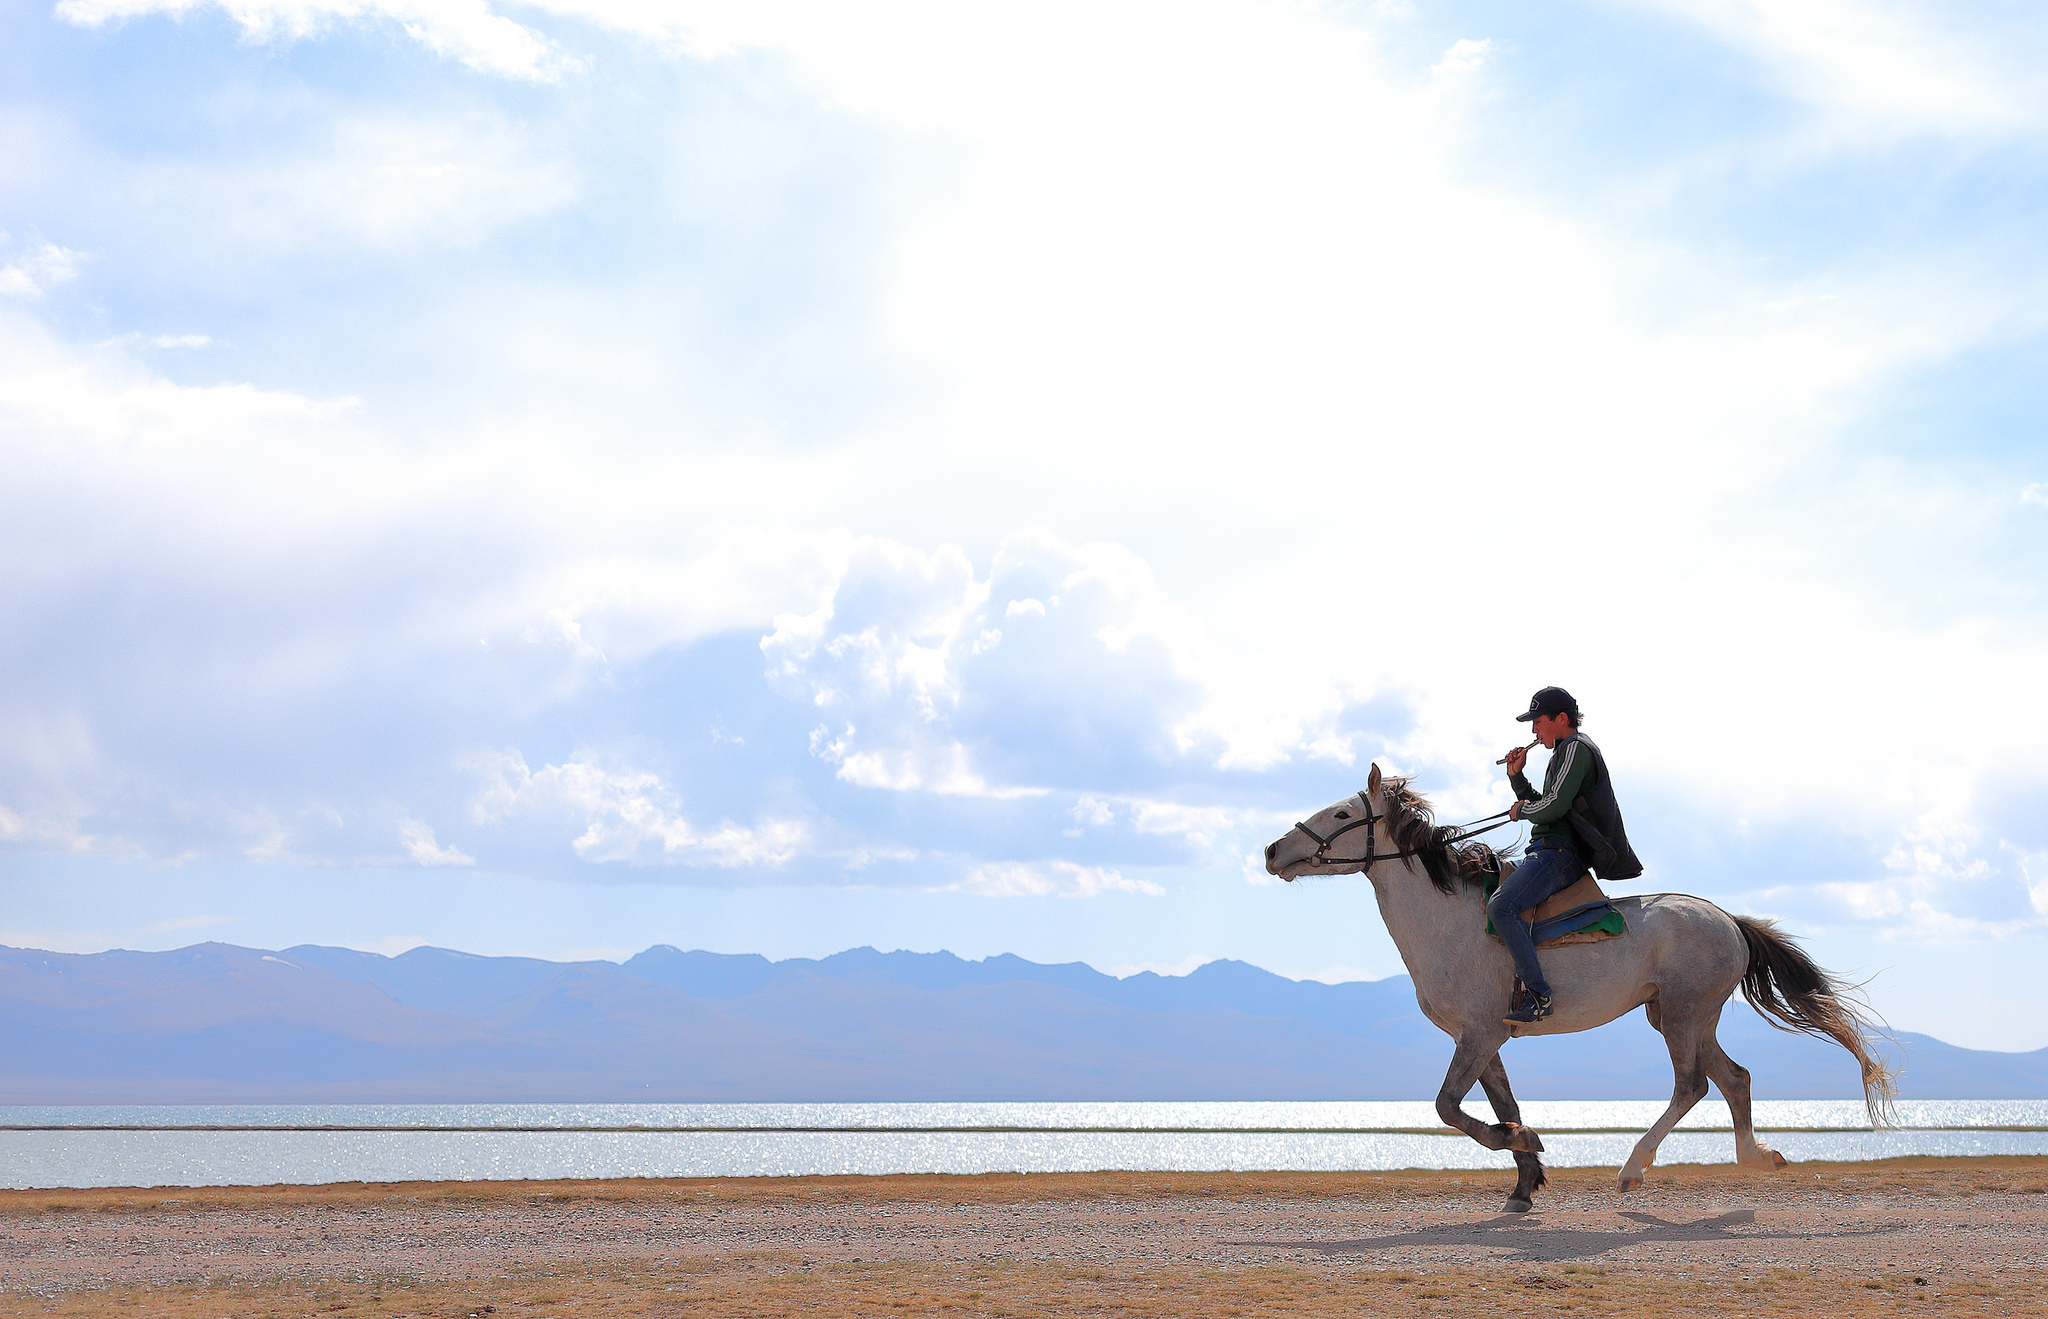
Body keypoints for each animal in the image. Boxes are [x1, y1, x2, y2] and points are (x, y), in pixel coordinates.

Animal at [1253, 761, 1892, 1212]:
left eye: (1341, 815)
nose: (1272, 851)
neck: (1452, 922)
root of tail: (1728, 920)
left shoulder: (1479, 1035)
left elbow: (1448, 1107)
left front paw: (1525, 1143)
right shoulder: (1484, 1039)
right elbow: (1498, 1103)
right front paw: (1524, 1179)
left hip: (1683, 1015)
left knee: (1692, 1086)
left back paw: (1633, 1169)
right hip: (1683, 1015)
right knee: (1734, 1078)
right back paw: (1756, 1159)